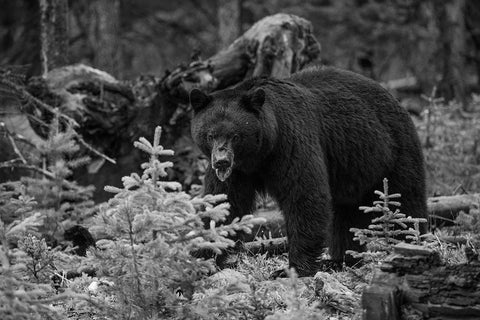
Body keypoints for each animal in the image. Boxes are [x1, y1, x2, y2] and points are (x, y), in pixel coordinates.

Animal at [189, 66, 426, 276]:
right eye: (210, 135)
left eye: (236, 136)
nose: (221, 162)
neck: (260, 154)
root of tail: (396, 100)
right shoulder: (238, 172)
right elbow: (223, 204)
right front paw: (203, 257)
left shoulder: (291, 143)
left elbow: (304, 195)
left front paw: (291, 269)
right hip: (354, 167)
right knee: (347, 214)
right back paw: (340, 260)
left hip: (392, 154)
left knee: (405, 203)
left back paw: (411, 244)